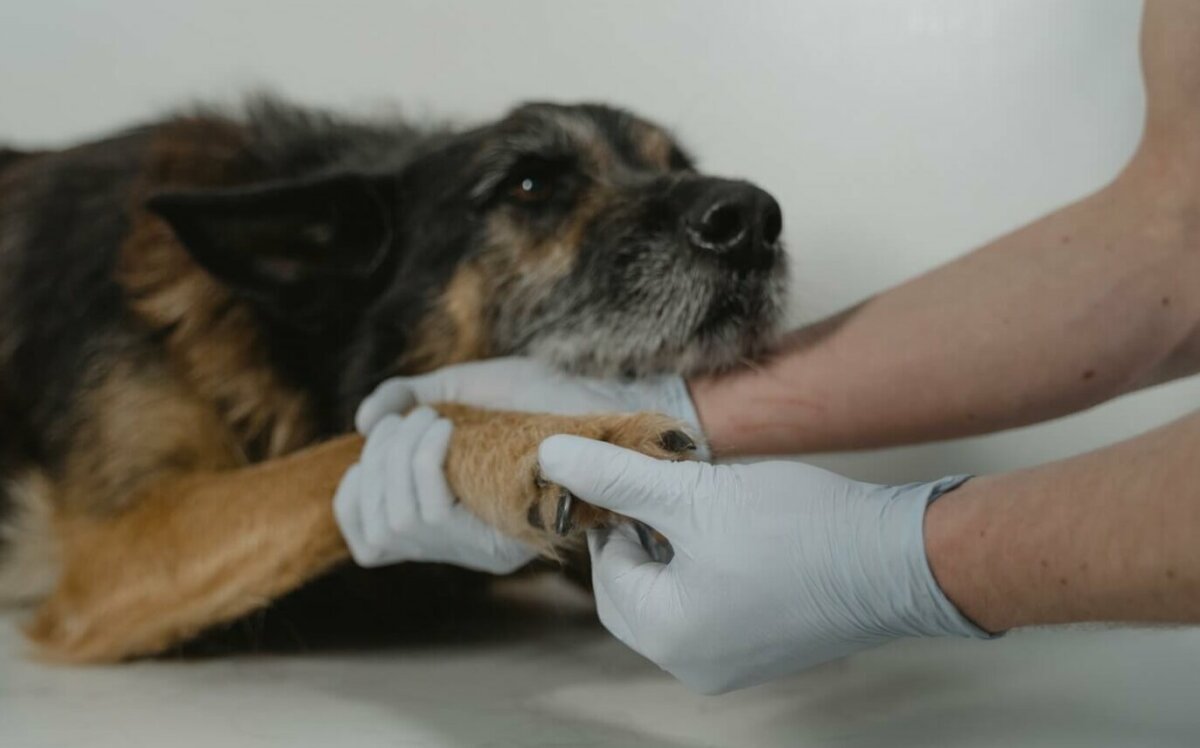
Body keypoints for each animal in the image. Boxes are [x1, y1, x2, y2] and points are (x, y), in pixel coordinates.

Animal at [0, 97, 787, 662]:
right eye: (530, 185)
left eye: (678, 163)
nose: (752, 218)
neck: (284, 341)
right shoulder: (115, 551)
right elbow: (381, 431)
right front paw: (565, 435)